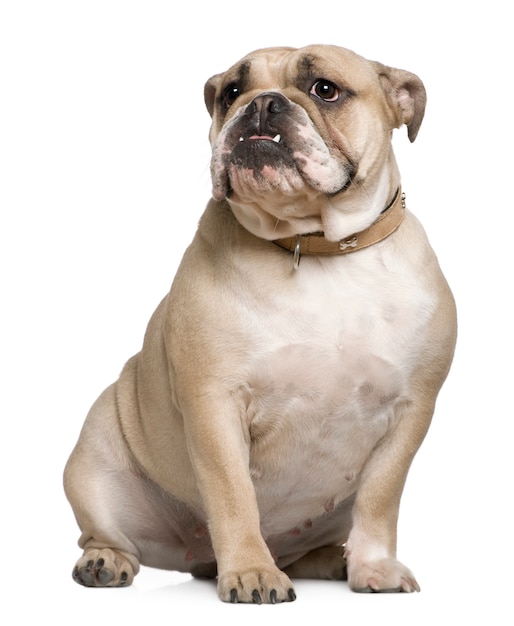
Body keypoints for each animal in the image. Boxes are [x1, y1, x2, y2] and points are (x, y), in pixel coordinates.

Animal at [63, 44, 452, 600]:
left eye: (324, 90)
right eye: (230, 92)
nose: (261, 103)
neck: (314, 247)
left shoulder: (410, 411)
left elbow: (381, 496)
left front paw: (374, 567)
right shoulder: (214, 404)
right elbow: (232, 494)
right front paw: (251, 570)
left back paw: (334, 558)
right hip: (94, 470)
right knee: (106, 534)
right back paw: (105, 562)